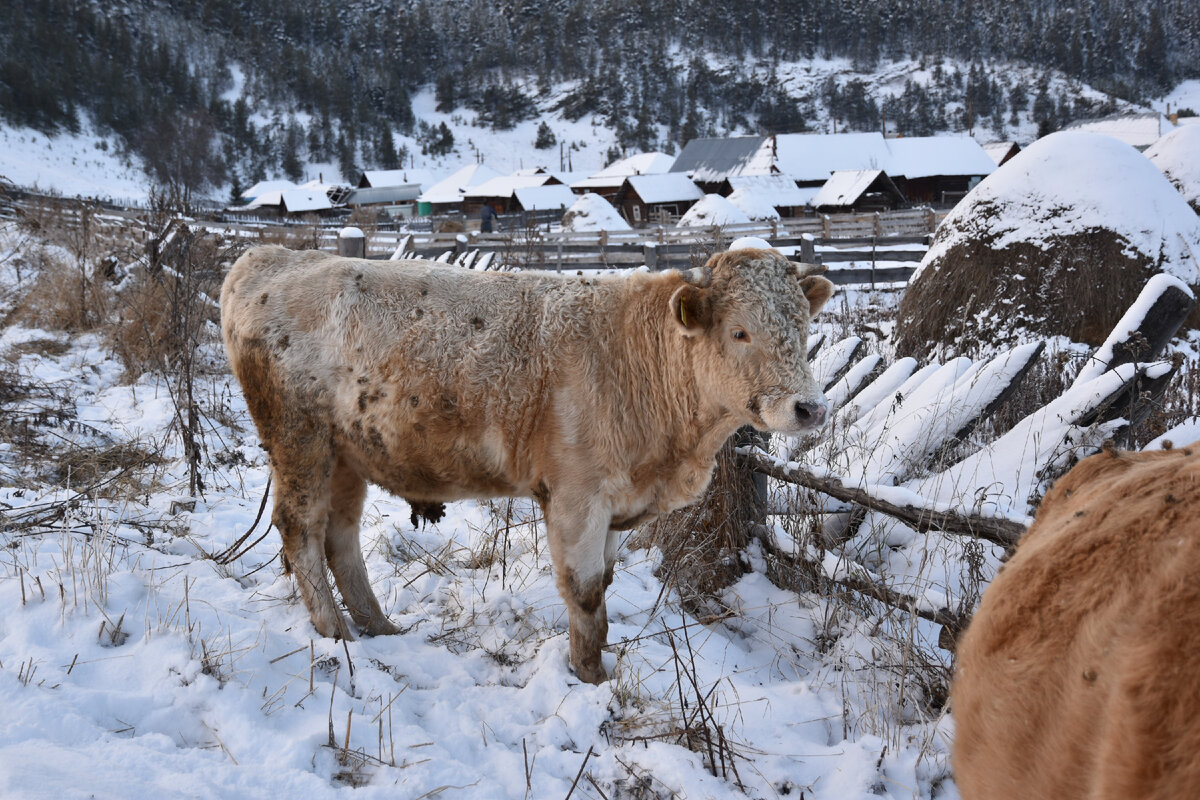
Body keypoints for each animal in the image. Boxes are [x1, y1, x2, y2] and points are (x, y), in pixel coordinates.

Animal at [220, 244, 830, 681]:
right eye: (740, 331)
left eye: (802, 328)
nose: (810, 408)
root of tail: (273, 256)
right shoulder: (577, 496)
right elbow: (585, 591)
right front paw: (590, 677)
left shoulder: (617, 503)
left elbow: (605, 585)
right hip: (300, 442)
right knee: (301, 529)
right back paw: (337, 634)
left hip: (348, 455)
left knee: (340, 538)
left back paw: (379, 628)